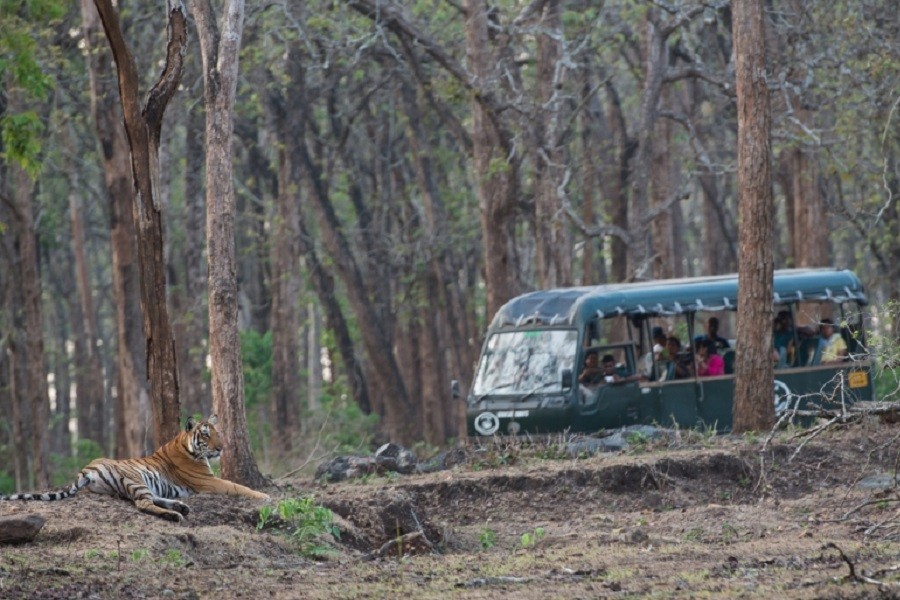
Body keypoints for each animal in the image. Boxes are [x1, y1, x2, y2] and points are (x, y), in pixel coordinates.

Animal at [0, 414, 268, 524]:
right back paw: (175, 514)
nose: (222, 448)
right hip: (136, 478)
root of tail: (86, 469)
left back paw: (180, 506)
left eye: (217, 433)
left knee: (152, 499)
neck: (187, 445)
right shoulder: (209, 481)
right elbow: (237, 486)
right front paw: (264, 495)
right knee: (143, 504)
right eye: (205, 435)